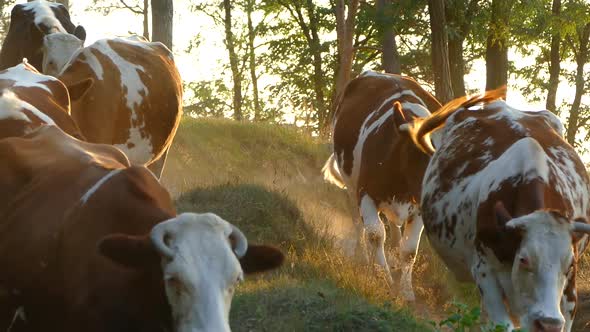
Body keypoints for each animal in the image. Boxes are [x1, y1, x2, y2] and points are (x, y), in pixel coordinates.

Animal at [324, 70, 444, 300]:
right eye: (416, 152)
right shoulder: (365, 194)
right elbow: (375, 234)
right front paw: (383, 279)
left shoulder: (419, 208)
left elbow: (409, 250)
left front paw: (406, 291)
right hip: (351, 185)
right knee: (358, 222)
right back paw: (363, 255)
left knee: (396, 232)